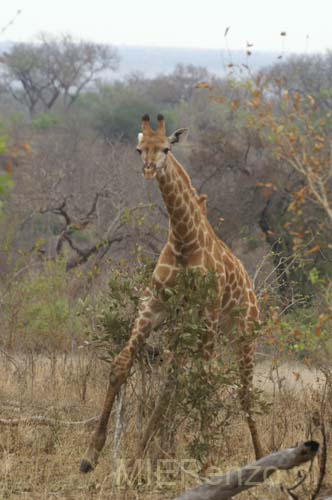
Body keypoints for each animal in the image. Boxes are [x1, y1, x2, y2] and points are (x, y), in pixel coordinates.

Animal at [79, 113, 264, 472]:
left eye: (167, 148)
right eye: (139, 150)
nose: (150, 169)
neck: (183, 240)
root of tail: (252, 292)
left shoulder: (206, 313)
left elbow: (204, 382)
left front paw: (206, 463)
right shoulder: (155, 303)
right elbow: (122, 364)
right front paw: (91, 454)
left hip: (243, 333)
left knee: (244, 392)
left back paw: (263, 459)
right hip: (186, 330)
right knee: (172, 382)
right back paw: (140, 457)